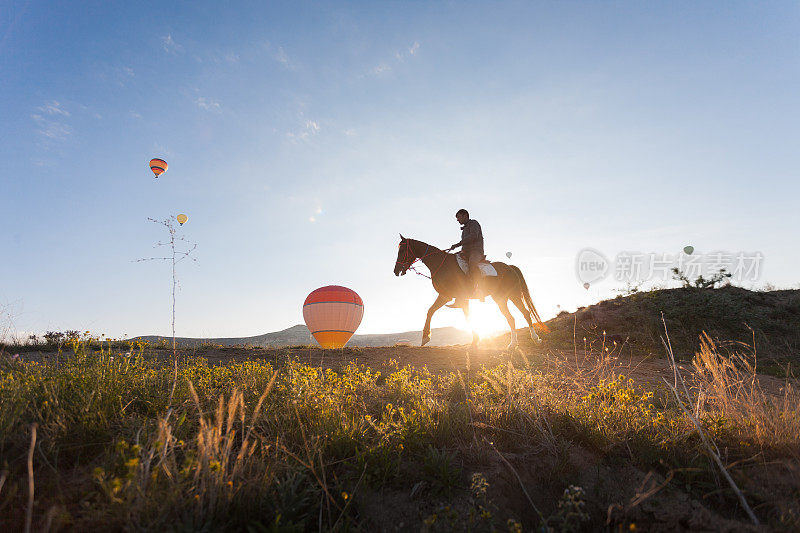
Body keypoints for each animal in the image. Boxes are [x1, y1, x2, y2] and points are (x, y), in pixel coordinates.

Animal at [394, 235, 552, 348]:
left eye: (402, 250)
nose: (396, 270)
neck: (441, 264)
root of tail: (510, 267)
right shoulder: (446, 296)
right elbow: (431, 311)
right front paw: (426, 337)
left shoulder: (453, 297)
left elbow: (466, 317)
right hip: (501, 299)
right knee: (511, 318)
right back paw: (513, 344)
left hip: (513, 295)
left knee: (525, 313)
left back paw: (535, 339)